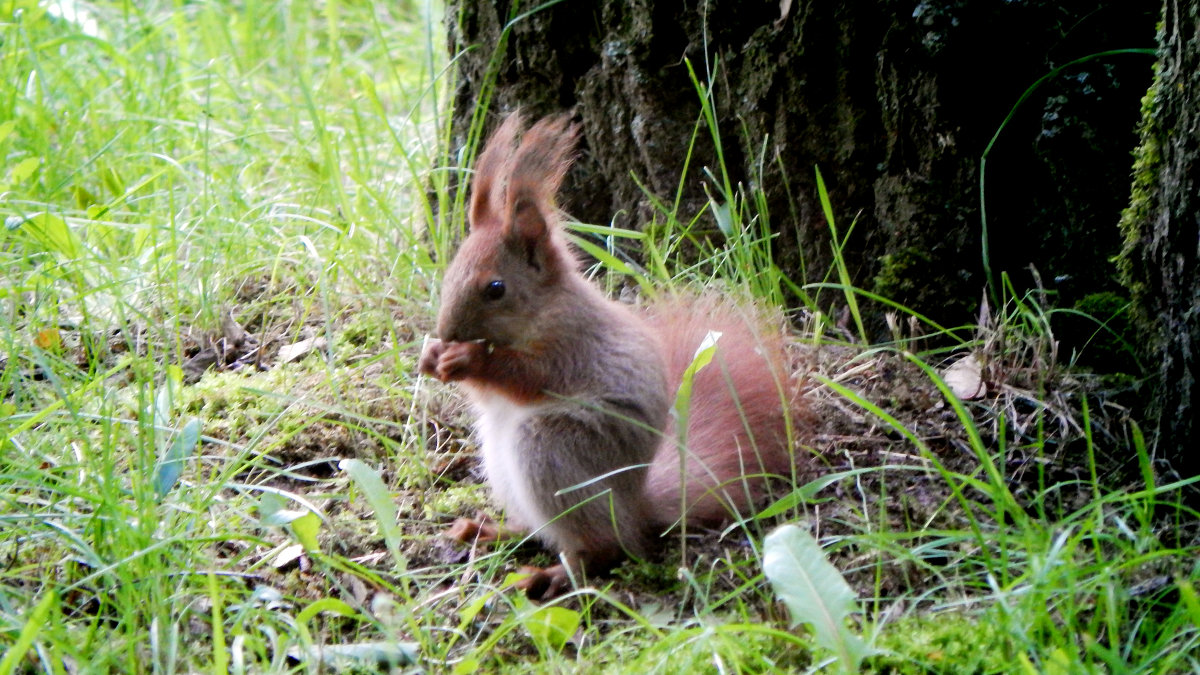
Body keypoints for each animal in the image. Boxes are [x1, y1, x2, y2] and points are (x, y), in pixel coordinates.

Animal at [417, 111, 801, 598]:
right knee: (542, 531)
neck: (544, 307)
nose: (447, 331)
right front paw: (433, 356)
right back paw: (491, 530)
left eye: (495, 288)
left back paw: (555, 573)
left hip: (553, 453)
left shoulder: (572, 346)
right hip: (502, 464)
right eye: (450, 272)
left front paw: (469, 360)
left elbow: (529, 376)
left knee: (604, 549)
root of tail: (636, 510)